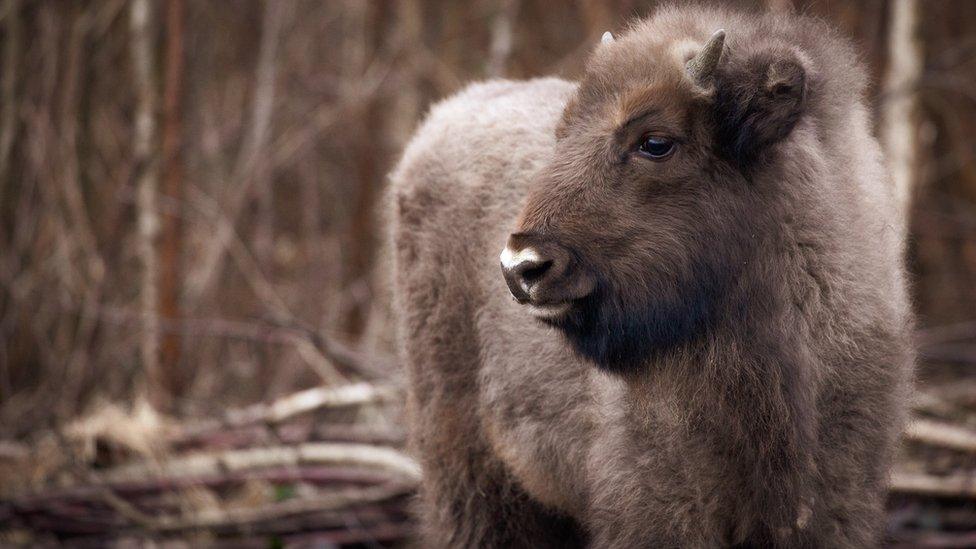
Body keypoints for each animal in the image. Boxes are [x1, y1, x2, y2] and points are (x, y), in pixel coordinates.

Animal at [388, 5, 916, 548]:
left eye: (656, 143)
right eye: (562, 132)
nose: (522, 266)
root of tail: (437, 124)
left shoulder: (835, 504)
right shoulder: (659, 507)